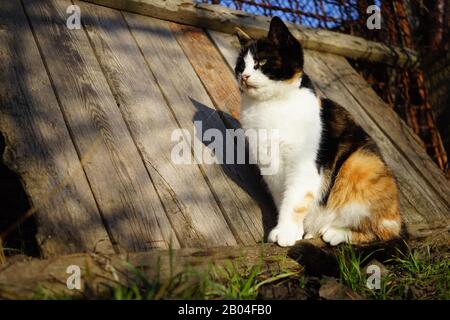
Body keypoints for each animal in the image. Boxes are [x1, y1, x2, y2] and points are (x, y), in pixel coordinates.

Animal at [236, 16, 400, 248]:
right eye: (240, 66)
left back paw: (334, 232)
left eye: (262, 62)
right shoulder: (270, 169)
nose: (244, 76)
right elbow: (283, 199)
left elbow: (294, 200)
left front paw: (285, 233)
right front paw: (293, 230)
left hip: (360, 162)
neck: (269, 107)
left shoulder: (305, 165)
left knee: (385, 232)